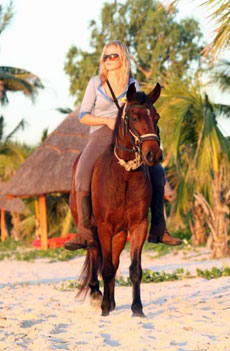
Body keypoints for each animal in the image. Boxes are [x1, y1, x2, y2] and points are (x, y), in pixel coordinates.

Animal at [71, 82, 163, 320]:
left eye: (156, 117)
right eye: (134, 117)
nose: (153, 155)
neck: (125, 176)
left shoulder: (138, 226)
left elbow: (134, 268)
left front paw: (137, 308)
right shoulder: (104, 227)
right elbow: (106, 268)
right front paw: (104, 307)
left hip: (120, 233)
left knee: (113, 260)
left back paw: (111, 301)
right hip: (92, 229)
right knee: (95, 254)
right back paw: (97, 296)